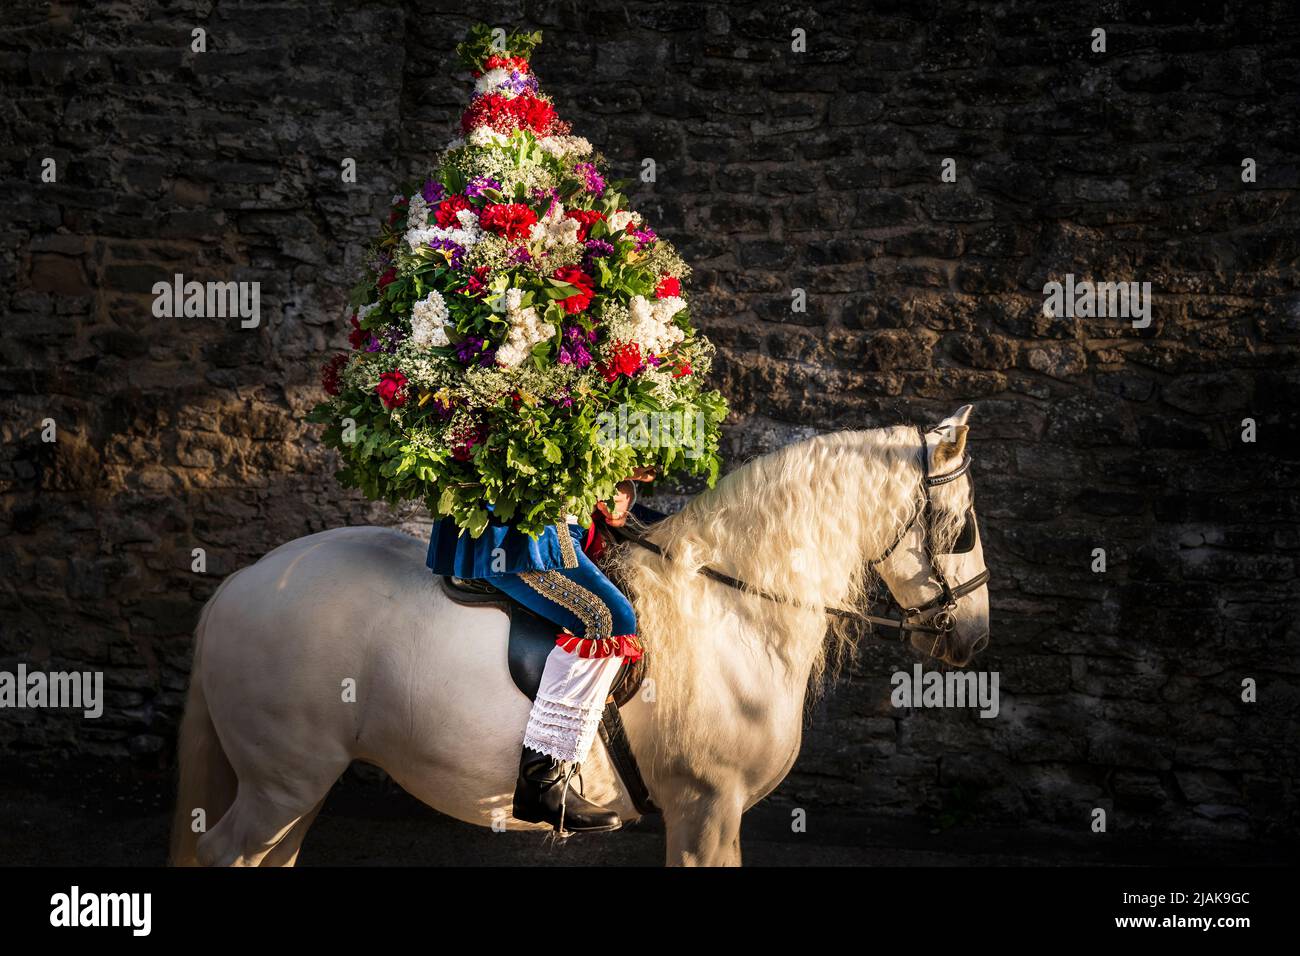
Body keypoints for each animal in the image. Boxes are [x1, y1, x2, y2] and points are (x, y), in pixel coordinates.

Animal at [170, 403, 982, 868]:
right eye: (964, 525)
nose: (972, 640)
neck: (735, 614)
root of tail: (242, 584)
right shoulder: (705, 807)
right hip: (284, 781)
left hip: (296, 787)